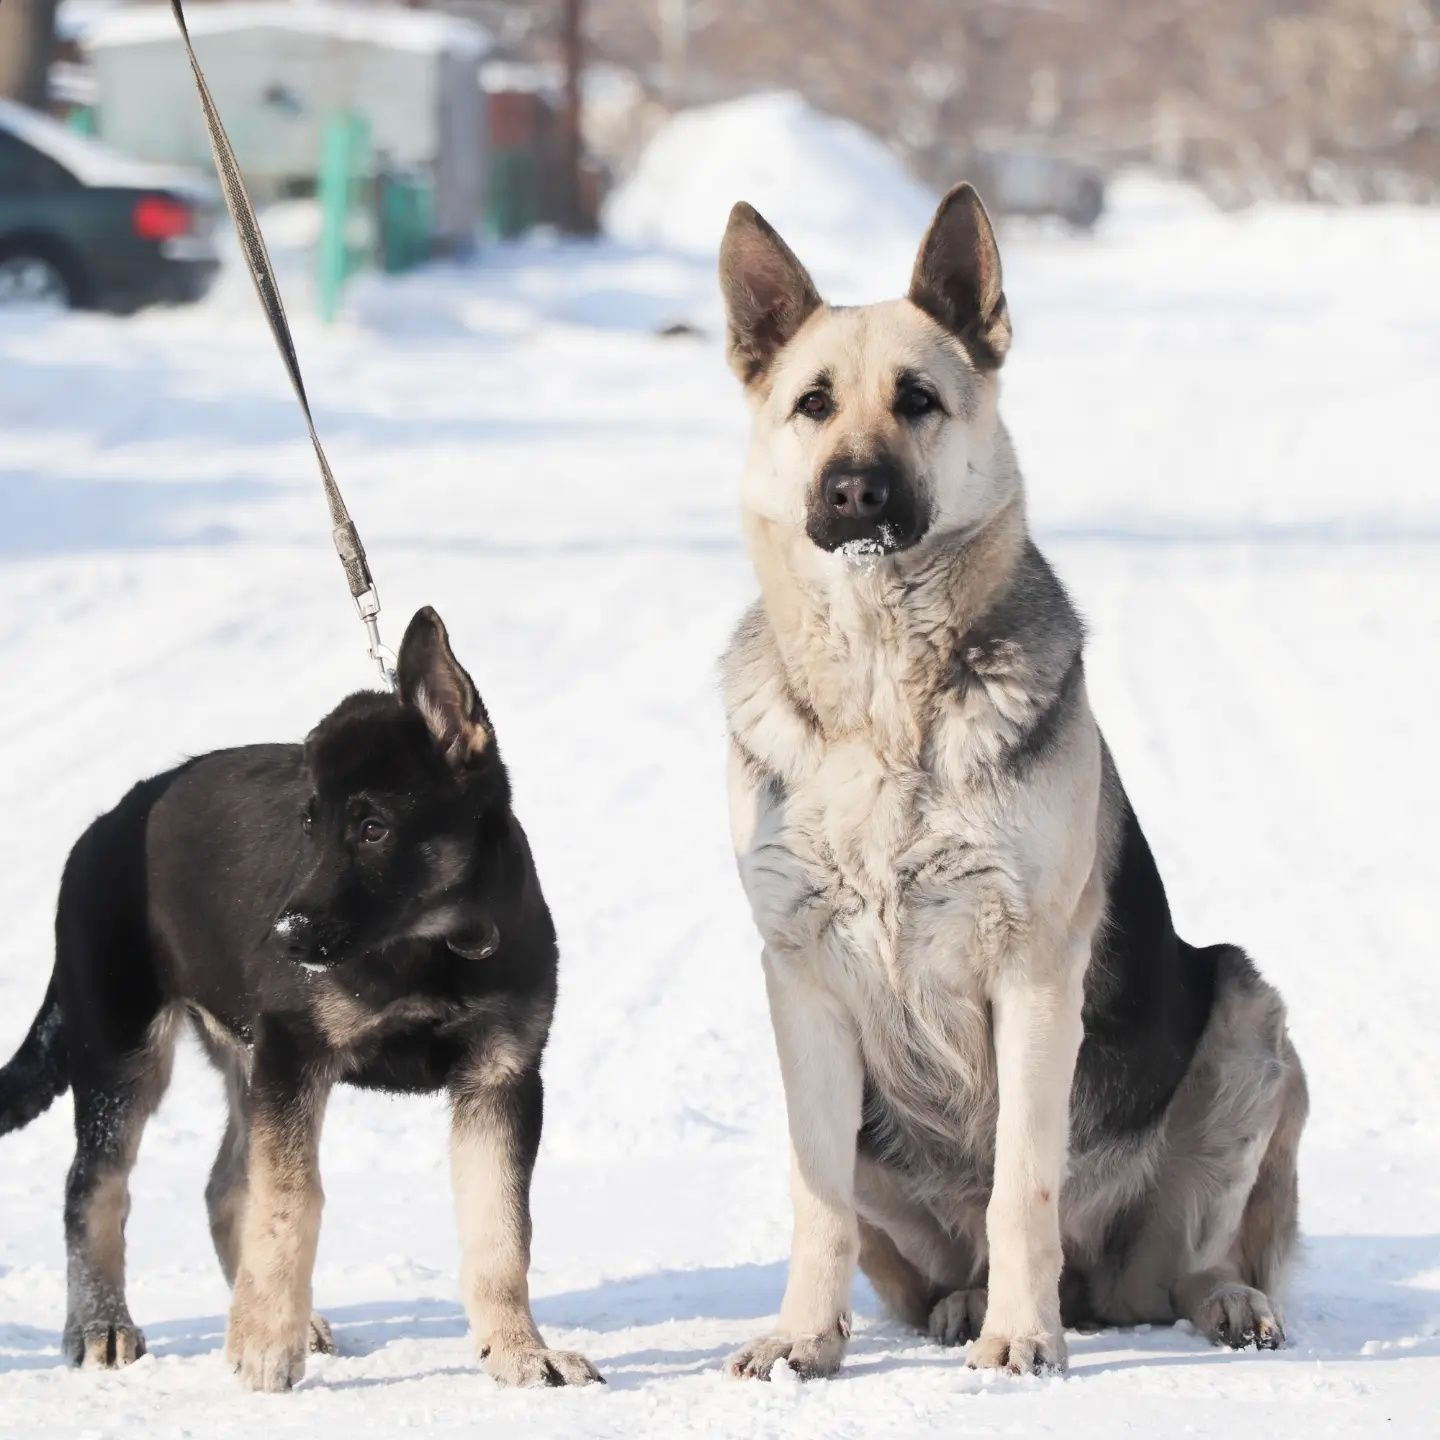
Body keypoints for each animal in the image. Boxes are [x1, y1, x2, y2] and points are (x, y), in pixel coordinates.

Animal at [0, 610, 601, 1393]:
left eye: (373, 828)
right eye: (309, 824)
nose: (284, 939)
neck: (430, 945)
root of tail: (105, 825)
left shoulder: (501, 1079)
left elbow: (499, 1226)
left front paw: (518, 1352)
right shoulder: (296, 1054)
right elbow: (290, 1202)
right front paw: (263, 1351)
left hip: (240, 1055)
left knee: (224, 1186)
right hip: (124, 1048)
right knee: (94, 1186)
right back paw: (104, 1326)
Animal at [717, 185, 1307, 1376]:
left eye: (918, 400)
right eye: (813, 404)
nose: (855, 489)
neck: (882, 693)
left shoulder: (1034, 975)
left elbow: (1022, 1184)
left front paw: (1023, 1340)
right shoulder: (802, 984)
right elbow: (816, 1202)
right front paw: (804, 1339)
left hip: (1250, 1026)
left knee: (1194, 1256)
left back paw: (1210, 1301)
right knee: (919, 1247)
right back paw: (958, 1303)